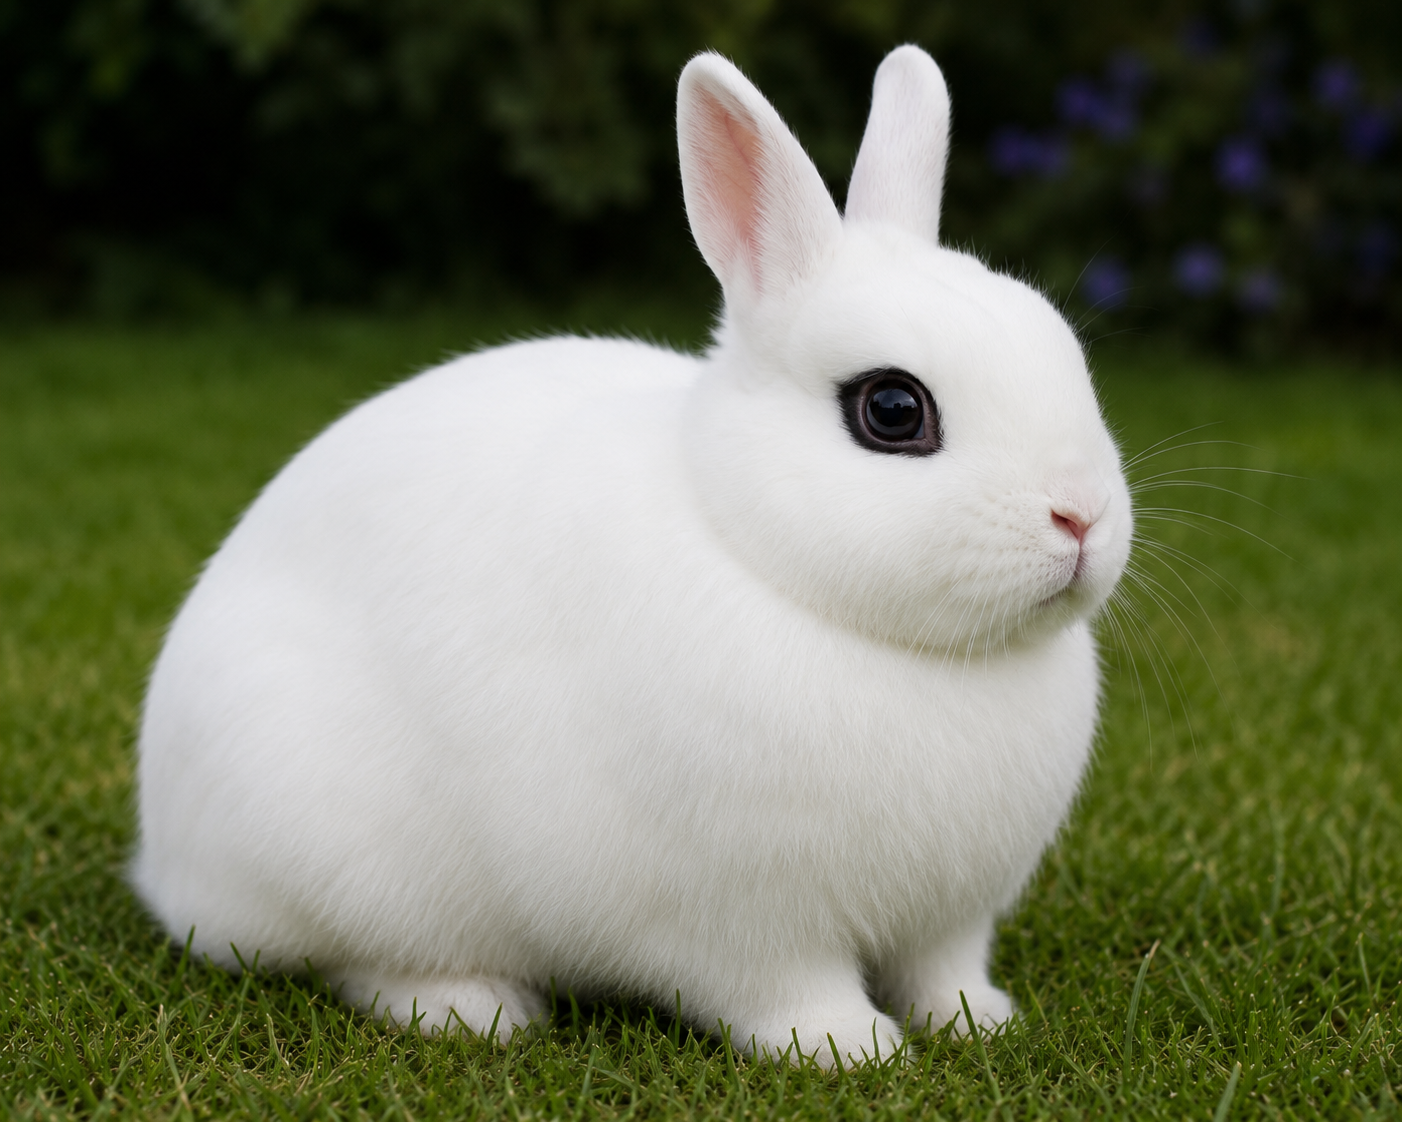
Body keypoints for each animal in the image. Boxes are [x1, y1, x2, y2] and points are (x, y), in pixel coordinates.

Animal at [132, 44, 1133, 1067]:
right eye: (892, 409)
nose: (1081, 518)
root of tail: (164, 858)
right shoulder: (750, 923)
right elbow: (787, 990)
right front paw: (849, 1049)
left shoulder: (951, 919)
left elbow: (942, 971)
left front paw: (979, 1023)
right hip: (337, 865)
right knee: (355, 962)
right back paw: (475, 1009)